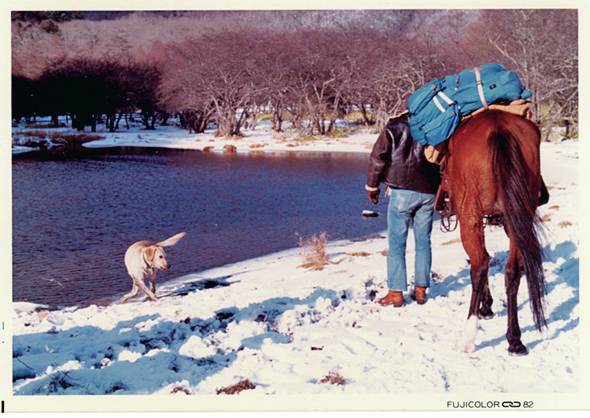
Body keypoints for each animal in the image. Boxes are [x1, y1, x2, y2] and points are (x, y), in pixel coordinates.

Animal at [448, 110, 552, 356]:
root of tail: (498, 127)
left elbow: (481, 260)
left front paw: (485, 306)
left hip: (469, 215)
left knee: (479, 266)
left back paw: (468, 337)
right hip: (518, 215)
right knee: (511, 271)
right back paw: (515, 340)